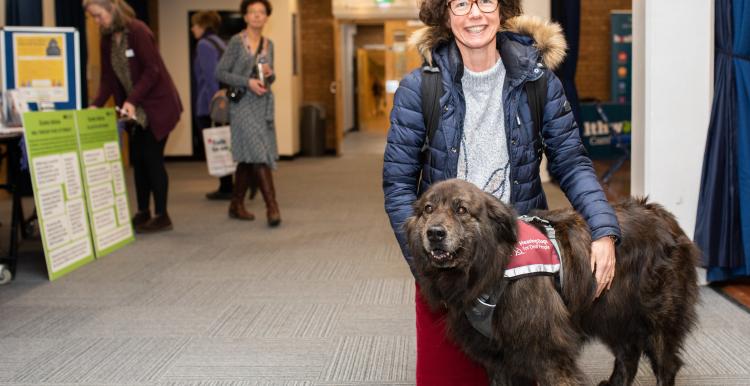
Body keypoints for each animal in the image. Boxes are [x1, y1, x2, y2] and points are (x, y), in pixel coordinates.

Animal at [408, 179, 704, 386]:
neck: (494, 265)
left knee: (666, 365)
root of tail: (665, 218)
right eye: (428, 209)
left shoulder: (549, 353)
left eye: (461, 209)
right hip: (611, 314)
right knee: (628, 356)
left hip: (657, 322)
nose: (435, 233)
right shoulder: (498, 357)